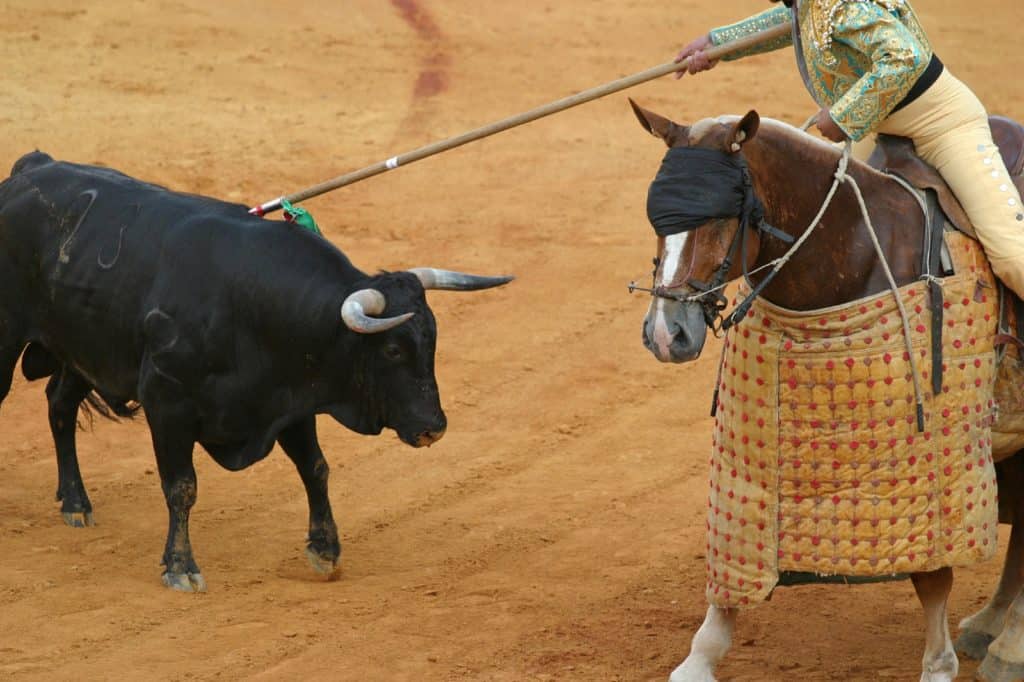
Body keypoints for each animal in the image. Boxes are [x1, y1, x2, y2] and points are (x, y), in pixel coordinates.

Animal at [0, 151, 512, 592]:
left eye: (432, 341)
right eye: (391, 350)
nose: (433, 428)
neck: (249, 303)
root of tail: (31, 167)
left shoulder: (290, 401)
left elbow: (315, 468)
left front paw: (325, 550)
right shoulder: (167, 404)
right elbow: (181, 487)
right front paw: (181, 567)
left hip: (82, 349)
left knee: (59, 406)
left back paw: (75, 502)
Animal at [629, 99, 1024, 682]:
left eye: (722, 216)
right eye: (658, 219)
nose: (665, 333)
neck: (853, 251)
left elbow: (932, 575)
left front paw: (938, 664)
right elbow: (735, 559)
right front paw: (697, 660)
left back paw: (1007, 648)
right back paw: (989, 626)